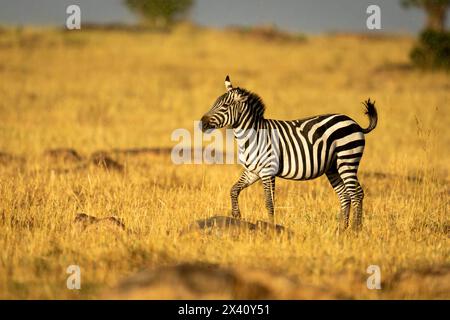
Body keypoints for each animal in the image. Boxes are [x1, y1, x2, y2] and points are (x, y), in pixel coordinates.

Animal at [200, 75, 376, 230]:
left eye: (224, 106)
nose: (202, 123)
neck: (252, 136)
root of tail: (354, 123)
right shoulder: (253, 171)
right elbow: (234, 190)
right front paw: (237, 215)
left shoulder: (268, 171)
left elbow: (269, 202)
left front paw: (271, 227)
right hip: (333, 167)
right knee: (345, 195)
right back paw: (341, 229)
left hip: (347, 159)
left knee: (357, 193)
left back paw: (356, 230)